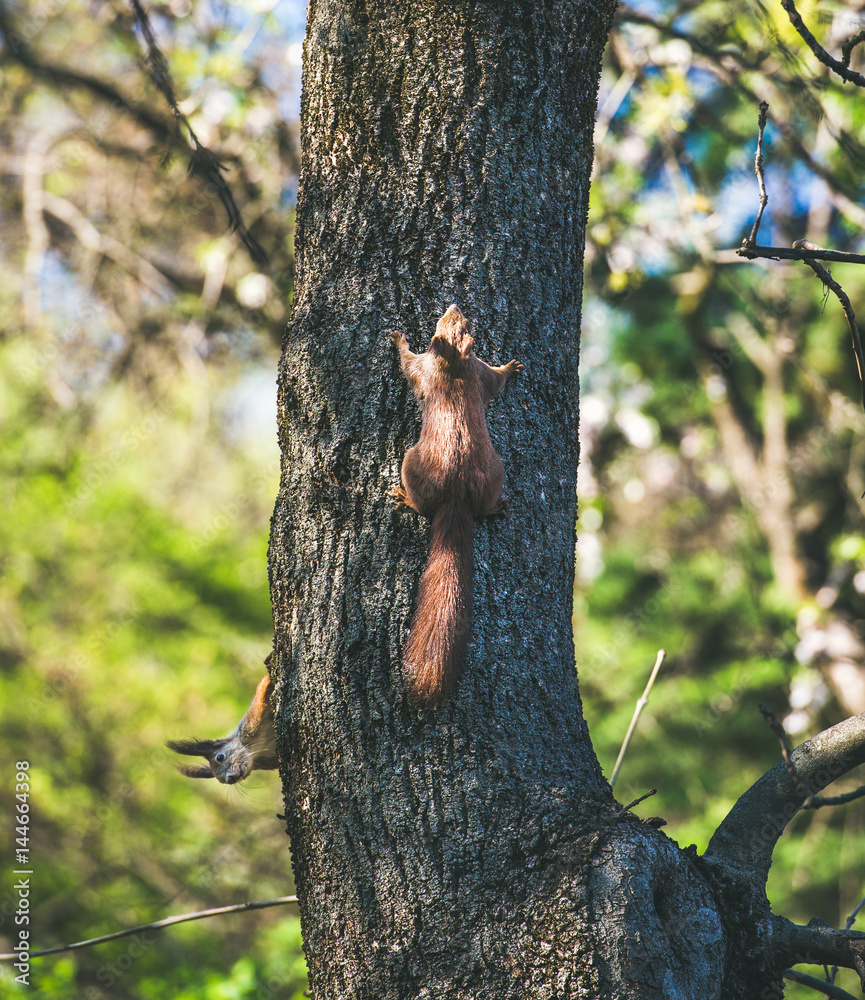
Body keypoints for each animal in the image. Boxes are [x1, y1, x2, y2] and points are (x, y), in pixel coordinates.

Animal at [165, 656, 276, 788]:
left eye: (219, 757)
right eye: (221, 781)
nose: (230, 779)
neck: (255, 750)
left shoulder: (251, 722)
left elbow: (263, 691)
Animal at [390, 304, 524, 704]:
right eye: (456, 322)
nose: (453, 306)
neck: (455, 365)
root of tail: (457, 497)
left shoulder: (425, 369)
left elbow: (407, 364)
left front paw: (398, 339)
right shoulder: (479, 373)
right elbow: (496, 379)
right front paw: (511, 367)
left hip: (410, 463)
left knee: (421, 505)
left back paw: (405, 498)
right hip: (496, 471)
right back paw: (495, 507)